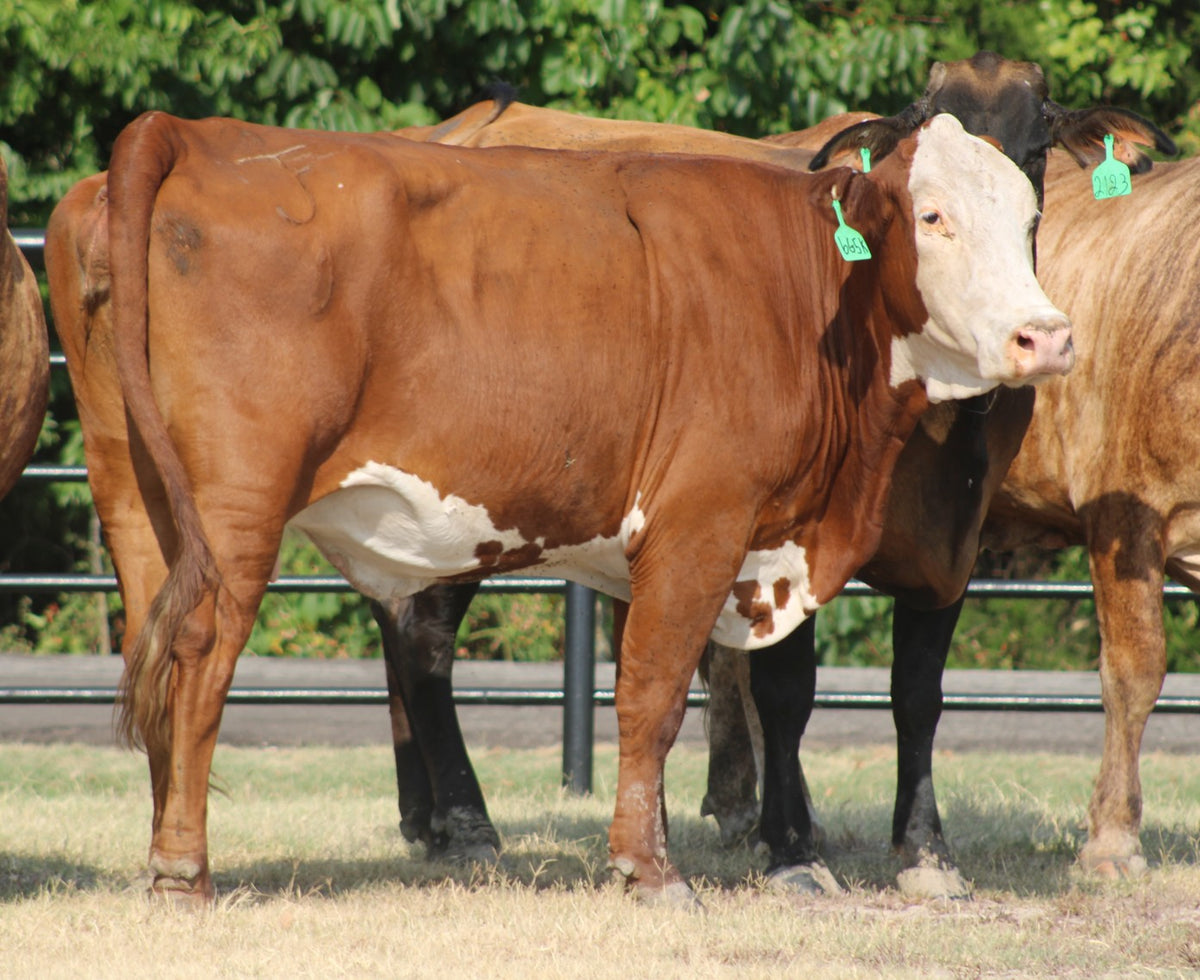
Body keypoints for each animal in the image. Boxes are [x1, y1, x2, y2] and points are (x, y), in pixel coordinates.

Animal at [47, 109, 1070, 908]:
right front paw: (650, 871)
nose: (1046, 336)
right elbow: (655, 694)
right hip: (238, 505)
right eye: (932, 215)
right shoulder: (702, 524)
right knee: (200, 651)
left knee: (149, 639)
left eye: (1031, 217)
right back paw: (184, 869)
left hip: (134, 493)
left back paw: (160, 849)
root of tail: (195, 134)